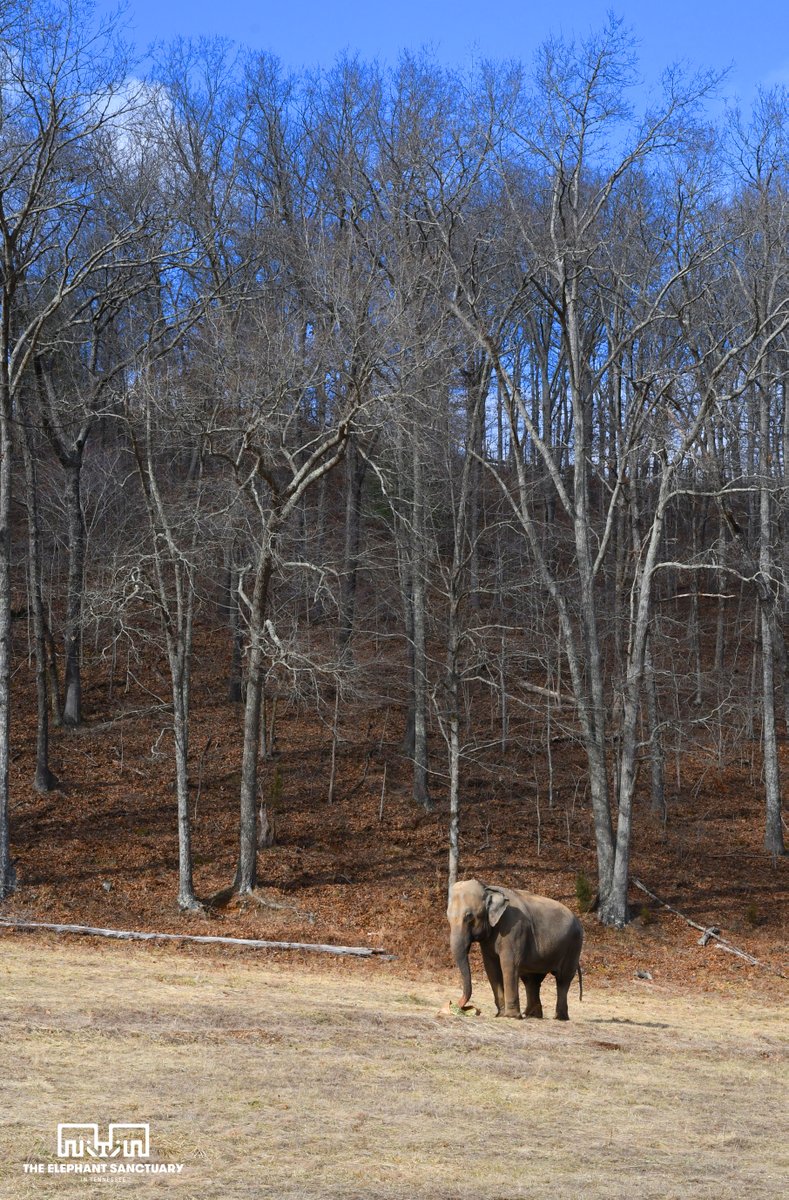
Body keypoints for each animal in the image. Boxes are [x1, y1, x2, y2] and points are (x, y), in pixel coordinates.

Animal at [447, 878, 583, 1020]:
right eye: (448, 917)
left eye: (469, 916)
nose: (454, 1004)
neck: (488, 888)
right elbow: (491, 967)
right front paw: (500, 1014)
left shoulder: (514, 929)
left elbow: (509, 965)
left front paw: (510, 1016)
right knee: (531, 980)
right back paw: (531, 1015)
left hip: (574, 946)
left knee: (563, 978)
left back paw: (559, 1017)